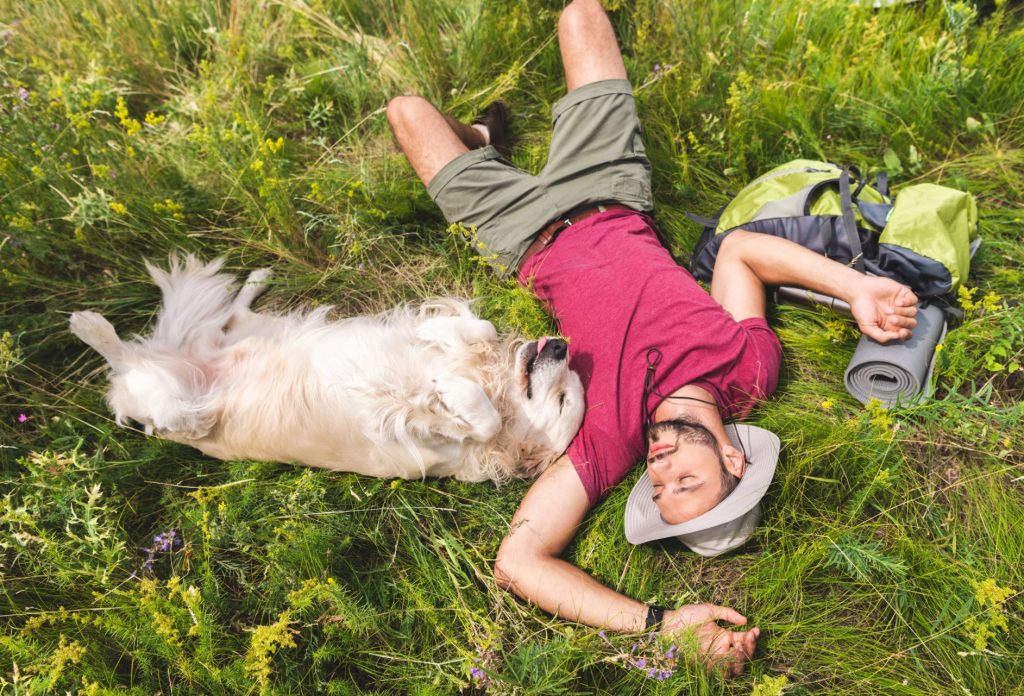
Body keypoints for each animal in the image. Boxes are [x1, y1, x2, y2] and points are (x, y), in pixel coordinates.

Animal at [70, 256, 585, 483]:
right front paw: (437, 332)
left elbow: (484, 421)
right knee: (232, 314)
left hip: (181, 413)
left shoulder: (423, 441)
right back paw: (255, 279)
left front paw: (451, 392)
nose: (562, 344)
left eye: (563, 400)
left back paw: (90, 325)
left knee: (129, 370)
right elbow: (481, 326)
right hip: (241, 334)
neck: (490, 381)